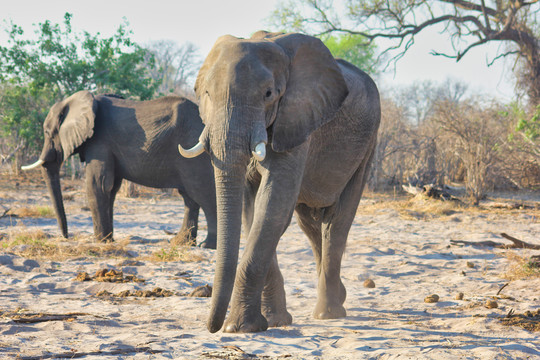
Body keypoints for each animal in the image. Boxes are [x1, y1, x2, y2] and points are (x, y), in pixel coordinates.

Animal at [23, 90, 217, 249]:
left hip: (194, 151)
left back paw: (207, 245)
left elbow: (98, 184)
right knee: (189, 197)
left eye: (47, 133)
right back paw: (181, 243)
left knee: (202, 193)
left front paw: (101, 241)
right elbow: (111, 188)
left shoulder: (99, 141)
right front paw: (109, 240)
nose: (66, 236)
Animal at [179, 32, 382, 334]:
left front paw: (239, 328)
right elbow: (254, 211)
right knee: (310, 223)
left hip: (367, 145)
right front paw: (274, 322)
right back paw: (338, 297)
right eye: (205, 94)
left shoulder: (296, 119)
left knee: (336, 222)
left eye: (268, 95)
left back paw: (329, 313)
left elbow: (273, 205)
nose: (212, 327)